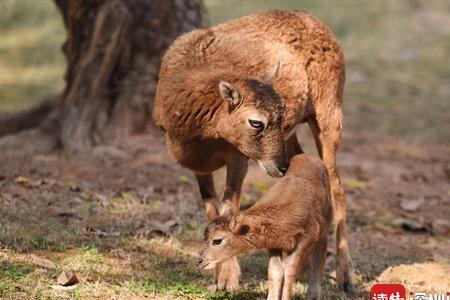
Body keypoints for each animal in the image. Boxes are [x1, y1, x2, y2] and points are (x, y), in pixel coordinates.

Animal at [199, 155, 332, 300]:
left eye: (217, 240)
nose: (200, 261)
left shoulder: (308, 235)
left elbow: (290, 269)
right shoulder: (272, 243)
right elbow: (275, 271)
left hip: (325, 227)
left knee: (319, 255)